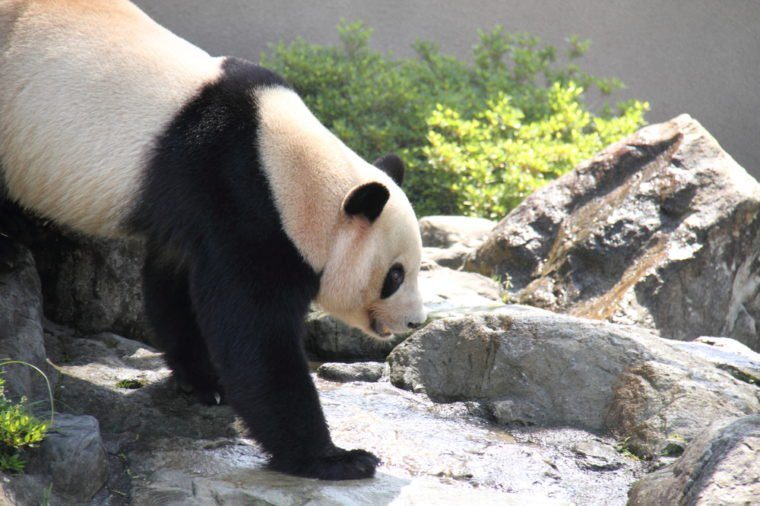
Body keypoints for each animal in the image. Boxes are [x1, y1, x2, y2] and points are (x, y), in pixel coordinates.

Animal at [0, 0, 428, 478]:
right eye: (395, 276)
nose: (416, 322)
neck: (285, 166)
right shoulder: (241, 198)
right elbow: (254, 335)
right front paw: (337, 458)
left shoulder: (197, 213)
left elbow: (173, 288)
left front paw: (204, 381)